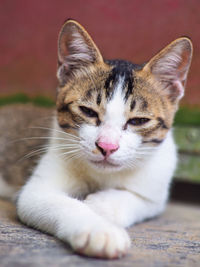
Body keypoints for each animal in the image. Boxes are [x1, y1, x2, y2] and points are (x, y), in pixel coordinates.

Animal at [0, 19, 192, 260]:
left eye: (138, 120)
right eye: (88, 111)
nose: (107, 146)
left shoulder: (156, 186)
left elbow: (141, 200)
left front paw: (101, 205)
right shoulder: (37, 190)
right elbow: (59, 203)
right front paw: (100, 231)